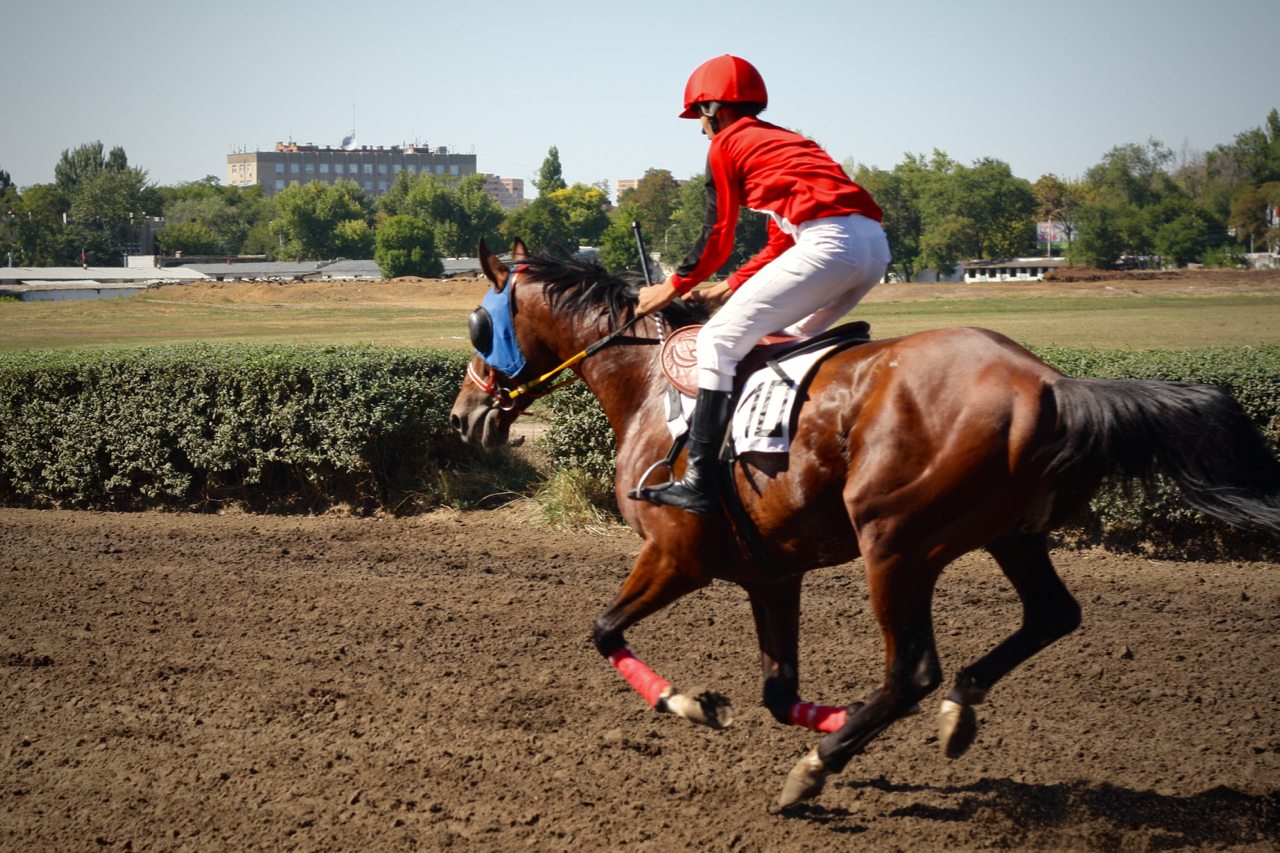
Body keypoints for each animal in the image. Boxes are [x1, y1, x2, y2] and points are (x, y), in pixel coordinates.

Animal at [450, 236, 1280, 804]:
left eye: (476, 327)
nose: (462, 418)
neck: (654, 385)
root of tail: (1051, 384)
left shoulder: (675, 556)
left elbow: (603, 628)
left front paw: (688, 702)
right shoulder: (770, 575)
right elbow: (777, 690)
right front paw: (823, 715)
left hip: (897, 544)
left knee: (913, 668)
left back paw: (819, 768)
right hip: (1008, 533)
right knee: (1051, 614)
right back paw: (953, 711)